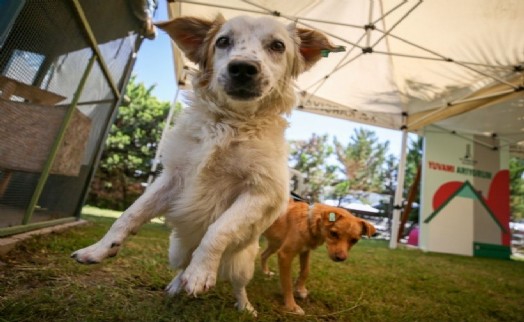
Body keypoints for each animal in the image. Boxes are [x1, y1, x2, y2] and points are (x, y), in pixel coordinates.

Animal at [71, 15, 336, 314]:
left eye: (278, 46)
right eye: (223, 41)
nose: (243, 68)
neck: (230, 123)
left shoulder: (261, 192)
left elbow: (219, 228)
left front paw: (201, 273)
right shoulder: (173, 178)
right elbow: (129, 215)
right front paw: (99, 249)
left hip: (244, 263)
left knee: (237, 284)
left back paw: (244, 306)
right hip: (176, 250)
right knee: (181, 267)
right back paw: (176, 287)